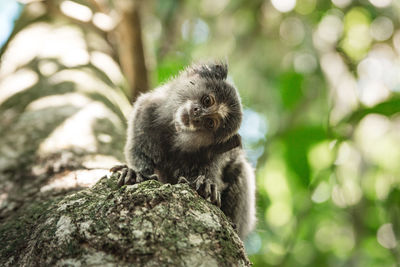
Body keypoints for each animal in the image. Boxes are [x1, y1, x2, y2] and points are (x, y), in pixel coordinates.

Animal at [111, 62, 256, 241]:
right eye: (208, 100)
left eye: (210, 123)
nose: (197, 114)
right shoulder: (146, 110)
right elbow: (137, 148)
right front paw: (135, 171)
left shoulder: (218, 153)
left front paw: (205, 184)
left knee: (241, 168)